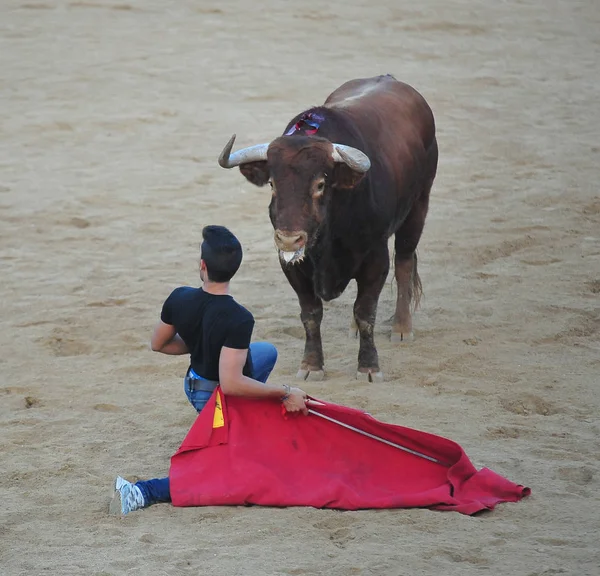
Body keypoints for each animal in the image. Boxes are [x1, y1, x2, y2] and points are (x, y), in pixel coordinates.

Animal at [218, 75, 438, 382]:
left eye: (320, 184)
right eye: (272, 184)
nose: (289, 240)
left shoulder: (376, 258)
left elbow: (366, 311)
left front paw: (369, 367)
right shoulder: (293, 266)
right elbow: (311, 314)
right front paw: (311, 366)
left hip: (419, 205)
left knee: (405, 262)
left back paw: (402, 327)